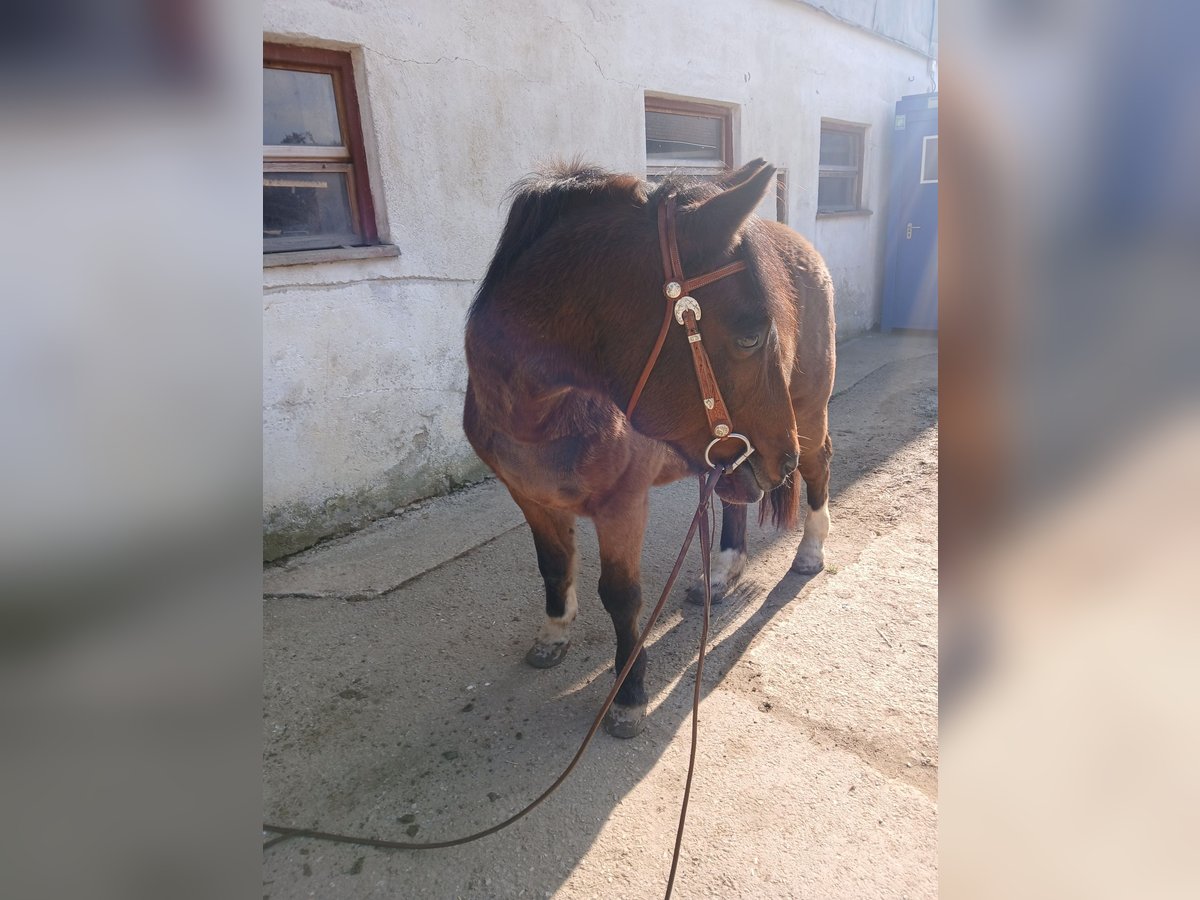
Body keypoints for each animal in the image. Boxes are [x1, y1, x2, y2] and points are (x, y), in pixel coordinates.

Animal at [460, 160, 835, 739]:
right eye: (750, 335)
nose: (782, 461)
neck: (541, 416)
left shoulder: (623, 506)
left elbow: (621, 597)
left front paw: (629, 693)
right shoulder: (531, 498)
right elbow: (553, 564)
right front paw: (555, 632)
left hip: (805, 417)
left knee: (819, 466)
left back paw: (809, 552)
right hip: (730, 458)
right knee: (732, 498)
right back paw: (722, 573)